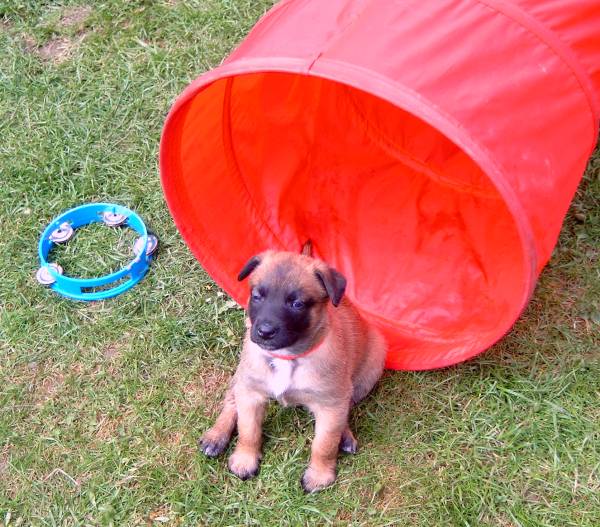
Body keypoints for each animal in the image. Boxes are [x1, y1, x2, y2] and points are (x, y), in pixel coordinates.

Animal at [200, 247, 386, 492]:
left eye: (297, 304)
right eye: (257, 296)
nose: (265, 332)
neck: (288, 357)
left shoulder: (330, 403)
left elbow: (324, 443)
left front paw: (319, 475)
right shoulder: (251, 393)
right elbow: (248, 430)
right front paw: (244, 459)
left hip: (369, 371)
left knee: (346, 408)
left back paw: (345, 436)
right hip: (242, 375)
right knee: (231, 400)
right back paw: (216, 436)